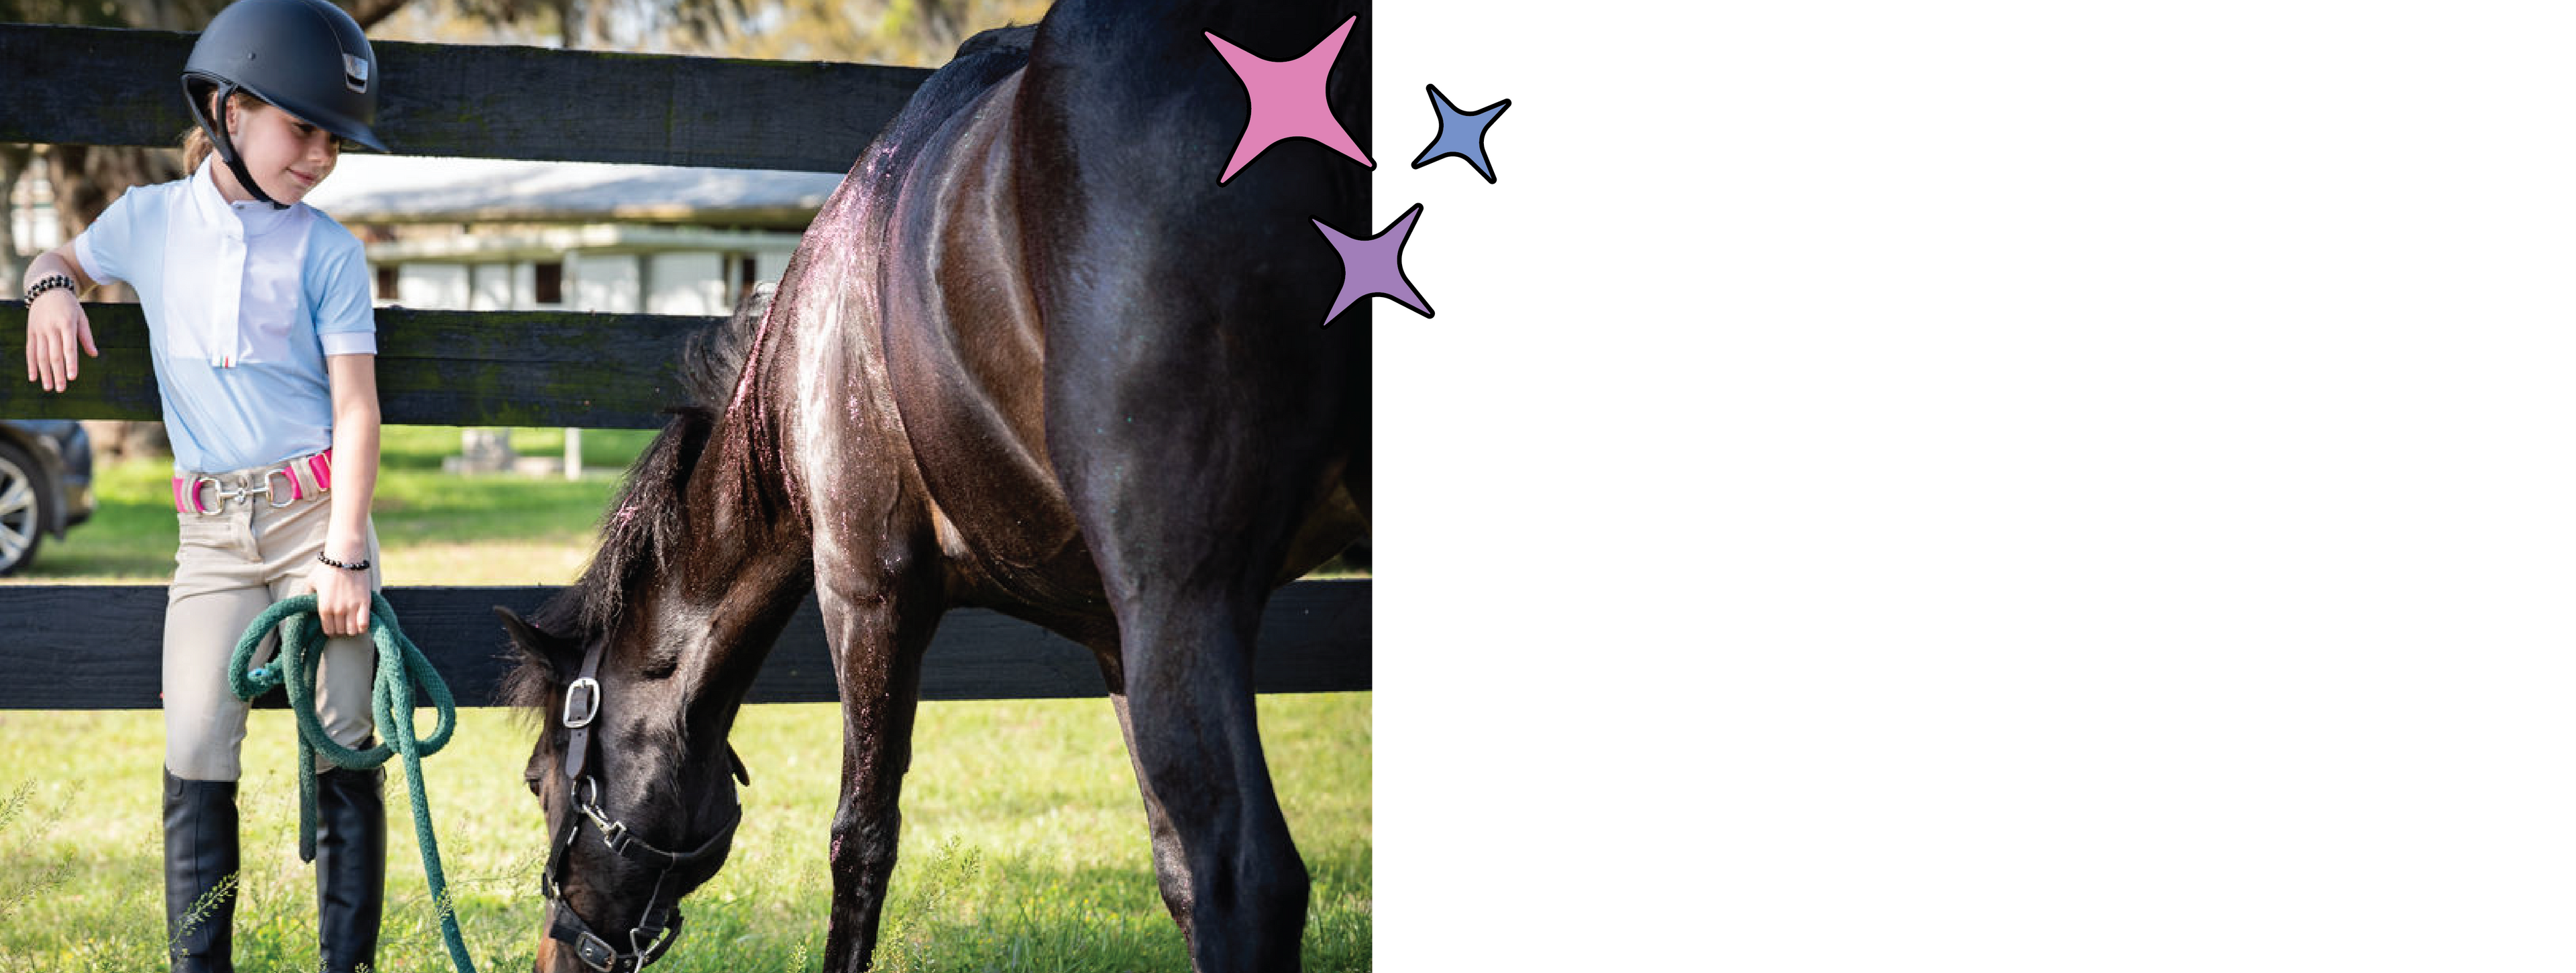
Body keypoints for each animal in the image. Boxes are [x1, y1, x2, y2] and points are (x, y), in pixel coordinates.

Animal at [493, 2, 1371, 969]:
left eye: (539, 779)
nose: (556, 952)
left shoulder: (868, 591)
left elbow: (860, 840)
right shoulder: (1112, 634)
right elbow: (1171, 867)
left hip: (1184, 593)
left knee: (1247, 879)